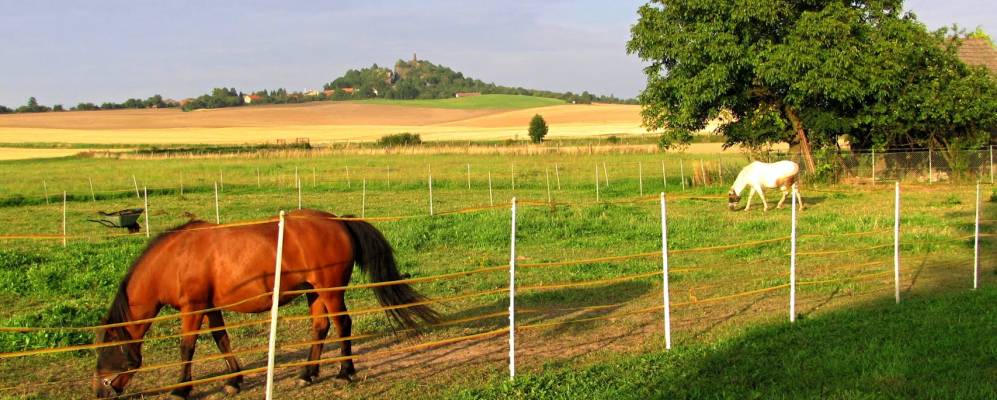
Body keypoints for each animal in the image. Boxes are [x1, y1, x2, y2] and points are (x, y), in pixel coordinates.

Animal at [92, 208, 436, 398]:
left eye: (106, 353)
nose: (99, 392)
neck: (176, 258)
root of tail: (338, 222)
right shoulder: (210, 307)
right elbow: (221, 340)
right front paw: (234, 381)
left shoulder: (193, 308)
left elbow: (187, 347)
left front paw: (181, 390)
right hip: (313, 292)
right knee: (321, 327)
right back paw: (307, 374)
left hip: (330, 290)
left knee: (342, 324)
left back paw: (344, 372)